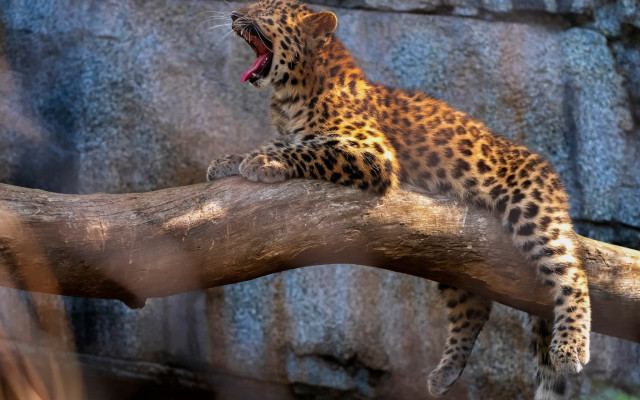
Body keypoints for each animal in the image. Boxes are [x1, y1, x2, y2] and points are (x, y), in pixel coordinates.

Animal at [205, 1, 591, 398]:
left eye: (264, 9)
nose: (233, 14)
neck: (291, 95)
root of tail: (550, 173)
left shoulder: (373, 153)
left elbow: (306, 148)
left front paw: (263, 162)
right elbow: (282, 142)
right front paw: (229, 161)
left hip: (531, 210)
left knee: (573, 275)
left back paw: (570, 347)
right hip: (454, 259)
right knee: (475, 307)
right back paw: (445, 373)